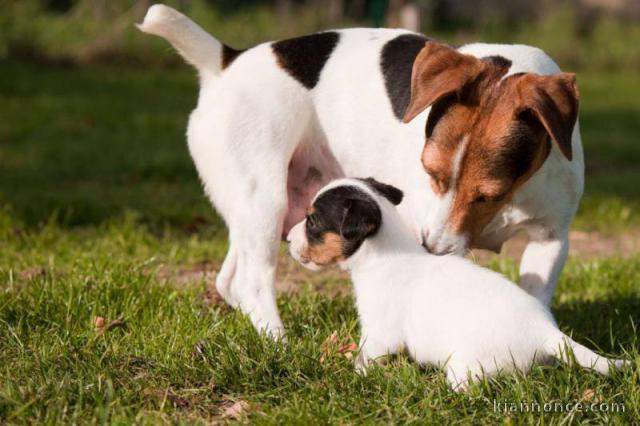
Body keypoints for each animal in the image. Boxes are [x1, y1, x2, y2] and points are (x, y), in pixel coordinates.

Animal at [138, 3, 584, 336]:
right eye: (430, 172)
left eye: (490, 194)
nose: (432, 248)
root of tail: (226, 62)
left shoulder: (550, 239)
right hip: (264, 199)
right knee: (252, 279)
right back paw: (279, 343)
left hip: (251, 209)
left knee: (230, 279)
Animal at [288, 178, 628, 392]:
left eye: (312, 221)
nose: (288, 239)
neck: (384, 254)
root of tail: (545, 331)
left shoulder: (380, 333)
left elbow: (366, 357)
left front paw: (356, 374)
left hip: (467, 365)